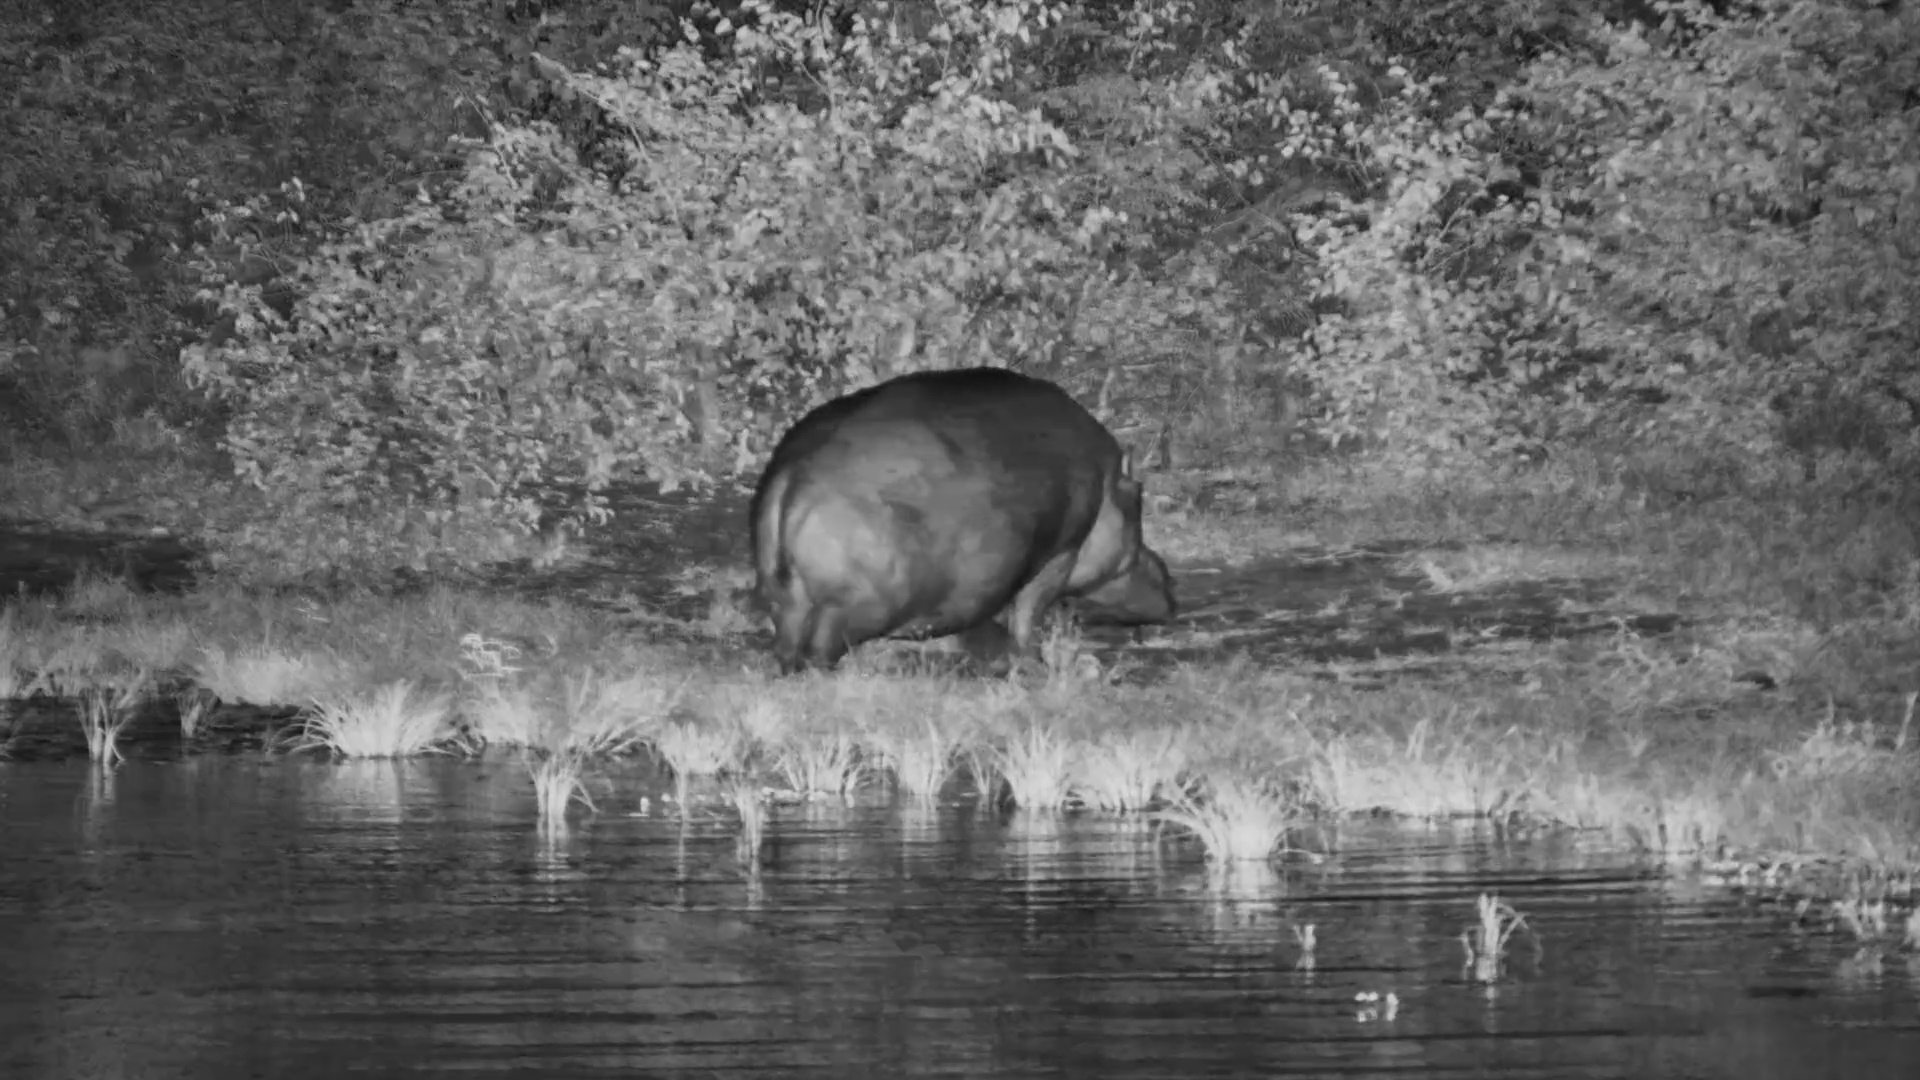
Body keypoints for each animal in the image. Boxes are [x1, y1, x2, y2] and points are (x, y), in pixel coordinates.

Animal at [750, 366, 1174, 673]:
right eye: (1138, 498)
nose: (1170, 579)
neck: (1107, 486)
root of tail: (791, 476)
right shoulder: (1059, 555)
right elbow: (1028, 611)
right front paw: (1033, 661)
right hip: (855, 603)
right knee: (820, 651)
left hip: (786, 602)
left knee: (789, 647)